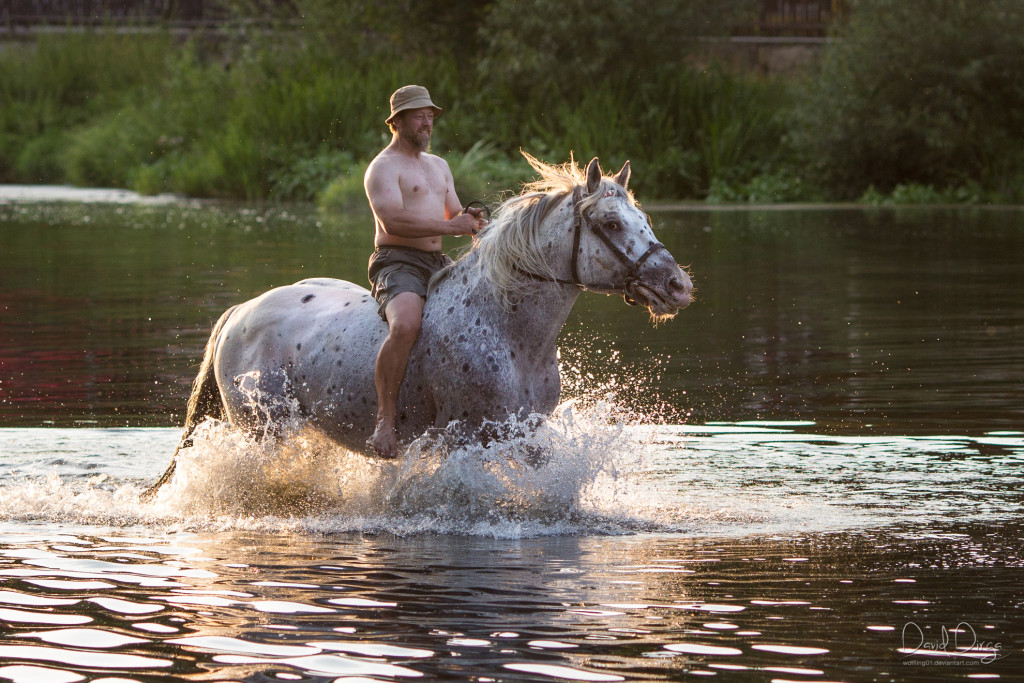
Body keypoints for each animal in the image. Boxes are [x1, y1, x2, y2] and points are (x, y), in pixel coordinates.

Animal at [144, 154, 692, 497]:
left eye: (643, 217)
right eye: (611, 223)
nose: (677, 285)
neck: (506, 328)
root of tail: (240, 311)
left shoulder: (526, 432)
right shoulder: (468, 439)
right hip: (262, 430)